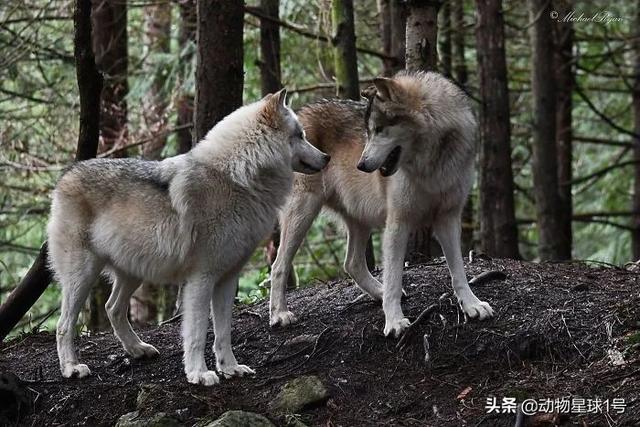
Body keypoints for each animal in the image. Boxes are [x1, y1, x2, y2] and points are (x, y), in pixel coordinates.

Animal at [48, 88, 330, 386]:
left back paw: (138, 350)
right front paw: (199, 373)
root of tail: (66, 174)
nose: (327, 157)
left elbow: (223, 333)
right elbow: (196, 333)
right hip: (83, 276)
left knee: (112, 308)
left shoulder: (228, 278)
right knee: (64, 324)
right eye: (300, 135)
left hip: (133, 273)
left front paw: (230, 368)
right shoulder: (201, 279)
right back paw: (71, 368)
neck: (237, 177)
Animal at [270, 71, 496, 338]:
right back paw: (279, 315)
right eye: (368, 132)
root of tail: (300, 113)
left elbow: (458, 271)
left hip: (359, 219)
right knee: (278, 266)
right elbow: (394, 277)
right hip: (303, 214)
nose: (361, 165)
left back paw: (377, 292)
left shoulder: (448, 218)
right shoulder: (398, 222)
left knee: (352, 263)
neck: (432, 164)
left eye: (379, 130)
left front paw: (471, 305)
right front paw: (394, 321)